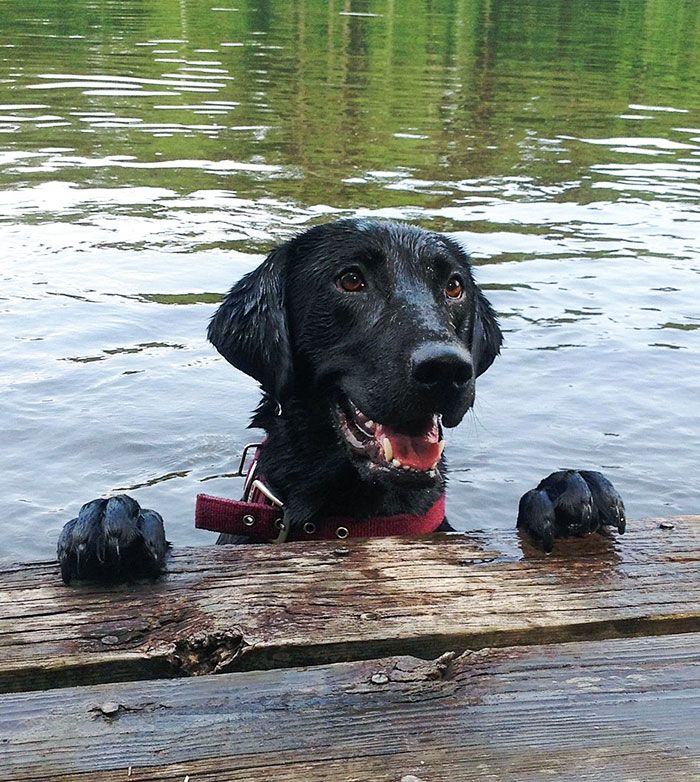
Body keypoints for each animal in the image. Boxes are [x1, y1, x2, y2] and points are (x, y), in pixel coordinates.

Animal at [56, 217, 624, 584]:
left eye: (454, 286)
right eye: (350, 279)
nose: (447, 368)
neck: (353, 515)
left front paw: (568, 491)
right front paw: (112, 521)